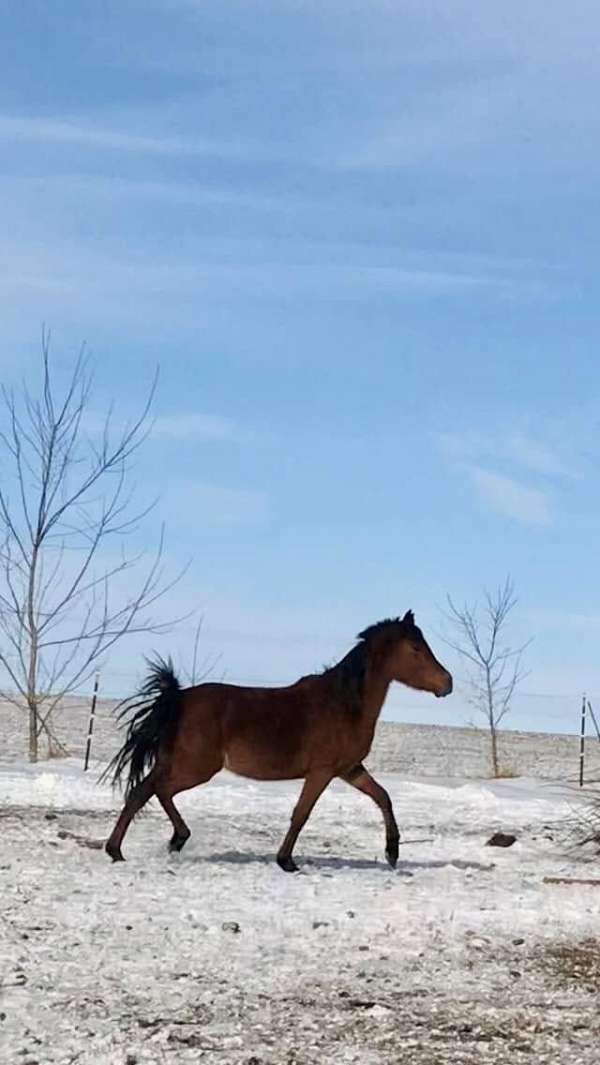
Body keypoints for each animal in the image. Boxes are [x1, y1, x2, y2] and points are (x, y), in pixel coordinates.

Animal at [104, 613, 451, 869]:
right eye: (416, 648)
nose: (447, 683)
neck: (344, 704)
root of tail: (178, 698)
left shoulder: (349, 769)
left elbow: (383, 797)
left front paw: (392, 852)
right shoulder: (322, 771)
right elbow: (301, 813)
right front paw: (286, 861)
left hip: (177, 763)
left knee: (145, 791)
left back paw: (132, 848)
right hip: (195, 767)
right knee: (154, 790)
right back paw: (154, 843)